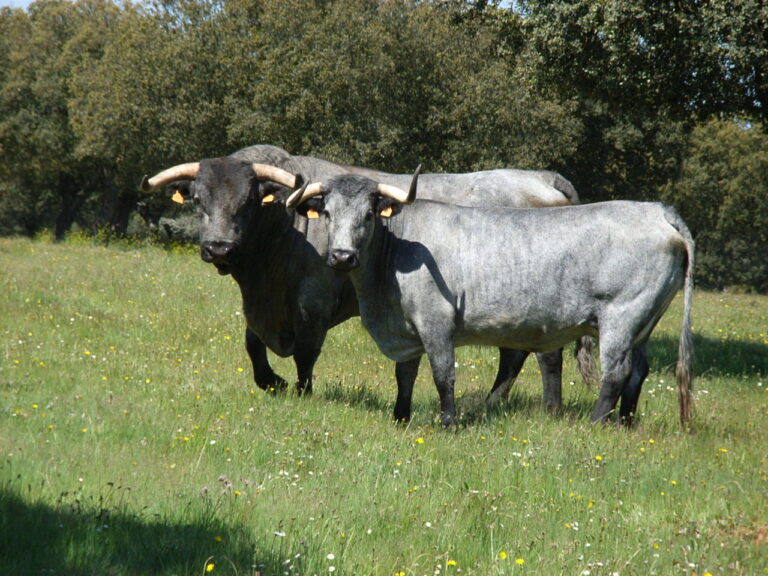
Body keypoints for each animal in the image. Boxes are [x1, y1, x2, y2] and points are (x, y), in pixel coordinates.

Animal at [288, 169, 696, 426]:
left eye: (369, 214)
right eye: (327, 212)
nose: (342, 257)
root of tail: (656, 210)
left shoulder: (436, 322)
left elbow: (442, 375)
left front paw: (448, 422)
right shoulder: (406, 330)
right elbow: (404, 374)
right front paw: (400, 418)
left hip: (621, 317)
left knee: (617, 373)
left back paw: (597, 423)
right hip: (643, 322)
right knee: (638, 371)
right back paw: (623, 423)